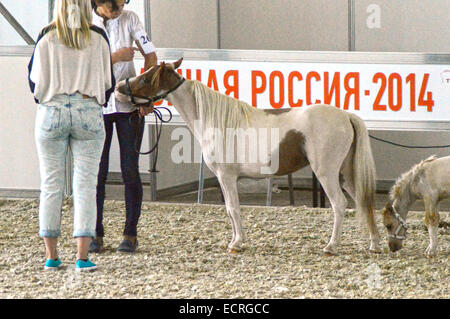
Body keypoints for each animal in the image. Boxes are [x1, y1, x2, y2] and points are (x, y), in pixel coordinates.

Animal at [115, 59, 380, 255]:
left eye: (146, 78)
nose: (117, 89)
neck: (216, 120)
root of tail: (346, 116)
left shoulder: (226, 176)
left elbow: (233, 208)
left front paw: (237, 244)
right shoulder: (225, 179)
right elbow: (230, 209)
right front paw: (235, 240)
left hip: (327, 173)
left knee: (340, 205)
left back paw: (332, 246)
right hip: (345, 174)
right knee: (363, 201)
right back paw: (374, 244)